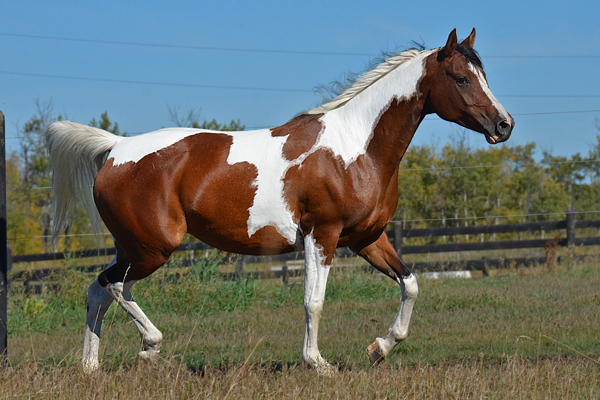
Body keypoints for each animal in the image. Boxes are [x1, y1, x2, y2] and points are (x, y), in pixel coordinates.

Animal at [45, 28, 510, 376]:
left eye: (484, 75)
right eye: (462, 78)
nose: (504, 125)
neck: (355, 148)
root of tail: (115, 148)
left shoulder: (367, 239)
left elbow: (410, 284)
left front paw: (379, 347)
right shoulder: (322, 236)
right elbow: (313, 301)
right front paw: (317, 363)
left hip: (133, 246)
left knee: (97, 291)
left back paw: (91, 366)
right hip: (153, 248)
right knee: (111, 285)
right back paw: (149, 347)